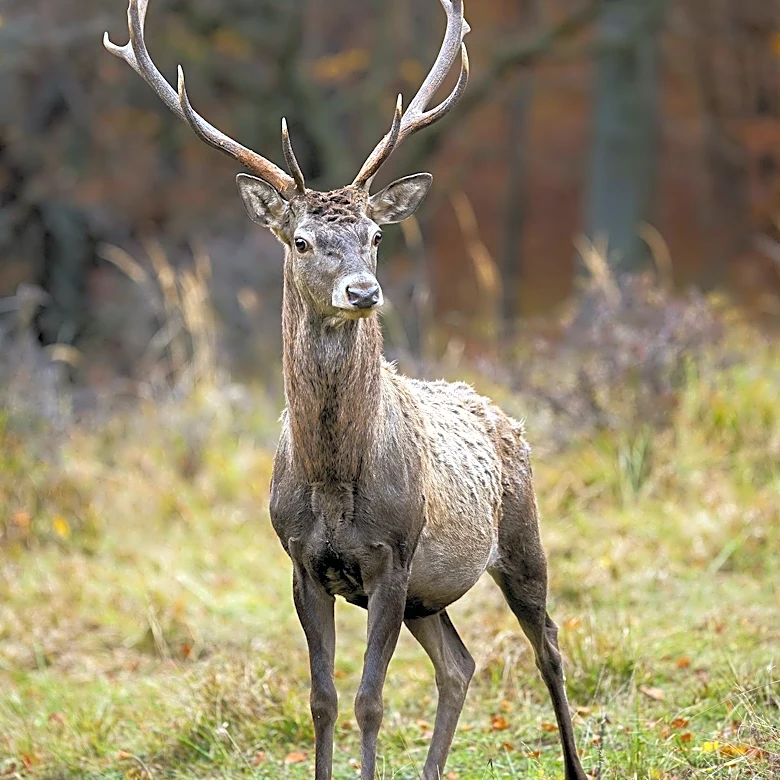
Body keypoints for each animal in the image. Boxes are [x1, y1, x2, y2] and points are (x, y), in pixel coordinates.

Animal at [104, 1, 588, 778]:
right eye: (301, 240)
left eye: (376, 236)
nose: (363, 291)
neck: (333, 484)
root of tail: (503, 414)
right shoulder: (303, 563)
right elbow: (323, 700)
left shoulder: (392, 556)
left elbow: (369, 701)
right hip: (429, 598)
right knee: (461, 665)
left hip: (520, 537)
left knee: (549, 648)